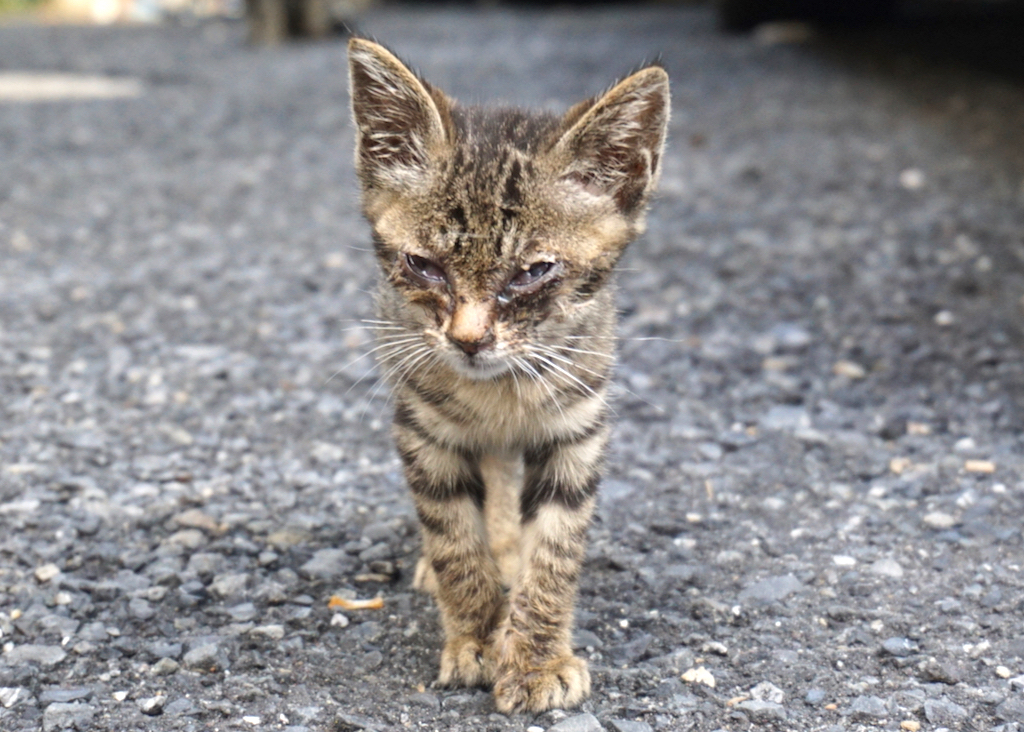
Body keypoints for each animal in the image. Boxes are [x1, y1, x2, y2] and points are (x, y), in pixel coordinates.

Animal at [350, 37, 671, 712]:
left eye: (532, 273)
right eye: (424, 266)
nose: (468, 340)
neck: (499, 393)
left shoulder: (578, 426)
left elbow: (555, 549)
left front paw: (535, 656)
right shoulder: (423, 425)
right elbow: (453, 535)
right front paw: (475, 633)